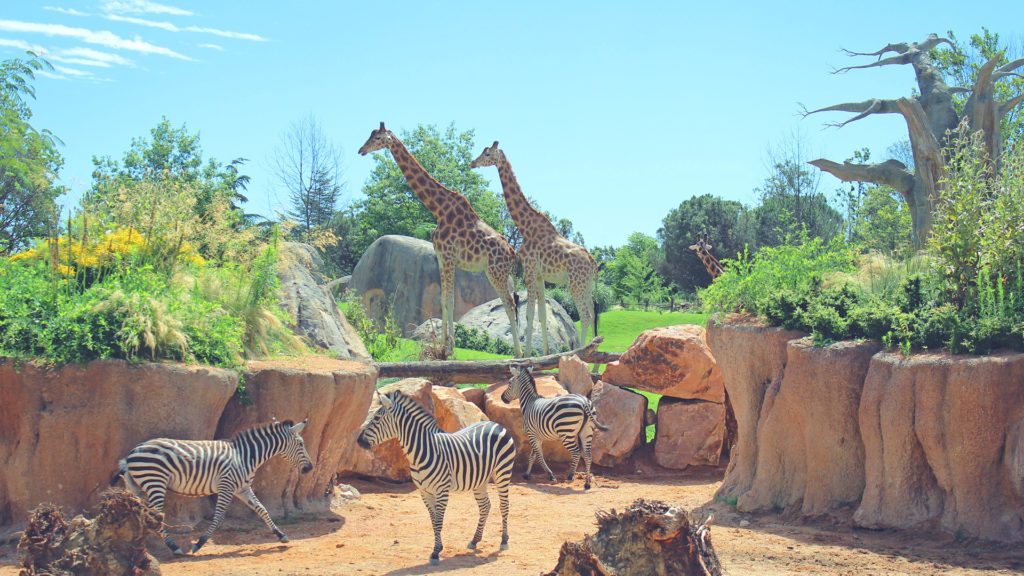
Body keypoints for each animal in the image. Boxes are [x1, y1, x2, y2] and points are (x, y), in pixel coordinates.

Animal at [111, 416, 311, 553]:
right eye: (301, 444)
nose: (310, 468)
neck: (245, 456)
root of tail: (132, 453)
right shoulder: (227, 486)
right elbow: (219, 516)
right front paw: (199, 543)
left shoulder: (242, 488)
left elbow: (262, 509)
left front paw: (281, 535)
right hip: (155, 482)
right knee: (155, 514)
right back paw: (173, 547)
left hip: (139, 486)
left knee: (141, 512)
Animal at [356, 387, 516, 561]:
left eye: (377, 418)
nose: (358, 441)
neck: (422, 451)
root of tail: (494, 423)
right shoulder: (424, 491)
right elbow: (433, 520)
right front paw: (438, 548)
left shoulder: (442, 490)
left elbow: (439, 521)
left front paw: (436, 552)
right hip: (480, 478)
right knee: (485, 505)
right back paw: (475, 540)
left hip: (503, 471)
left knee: (504, 505)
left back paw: (504, 541)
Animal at [358, 121, 520, 354]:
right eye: (370, 135)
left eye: (378, 138)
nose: (361, 150)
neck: (438, 208)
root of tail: (513, 254)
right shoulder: (442, 257)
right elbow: (443, 300)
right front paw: (442, 348)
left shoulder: (449, 256)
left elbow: (450, 301)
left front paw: (450, 349)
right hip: (499, 273)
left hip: (495, 272)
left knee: (509, 304)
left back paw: (520, 353)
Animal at [471, 141, 598, 352]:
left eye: (487, 153)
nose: (473, 163)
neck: (525, 226)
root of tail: (593, 262)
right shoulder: (539, 275)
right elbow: (542, 315)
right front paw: (545, 352)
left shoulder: (529, 271)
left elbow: (529, 314)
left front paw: (528, 353)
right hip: (586, 286)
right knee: (593, 314)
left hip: (575, 284)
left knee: (585, 316)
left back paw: (580, 351)